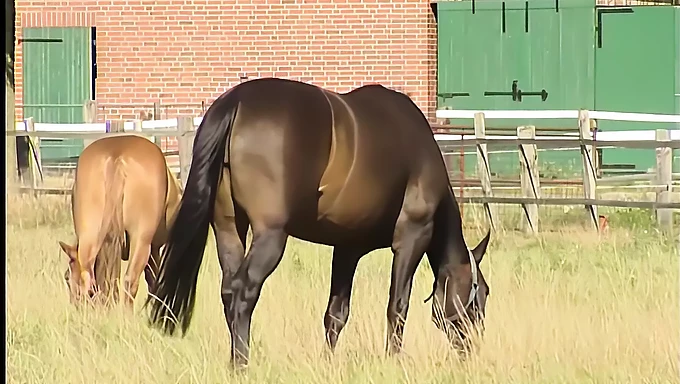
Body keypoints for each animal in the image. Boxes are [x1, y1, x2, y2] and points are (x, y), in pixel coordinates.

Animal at [59, 134, 183, 308]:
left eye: (66, 277)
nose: (76, 306)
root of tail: (116, 157)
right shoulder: (153, 249)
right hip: (141, 240)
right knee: (130, 280)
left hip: (91, 234)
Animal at [147, 76, 488, 368]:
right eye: (480, 296)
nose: (472, 348)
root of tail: (236, 102)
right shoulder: (411, 238)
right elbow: (398, 306)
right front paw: (393, 361)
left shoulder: (348, 248)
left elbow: (336, 313)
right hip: (271, 236)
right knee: (244, 293)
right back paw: (241, 364)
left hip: (229, 228)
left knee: (229, 291)